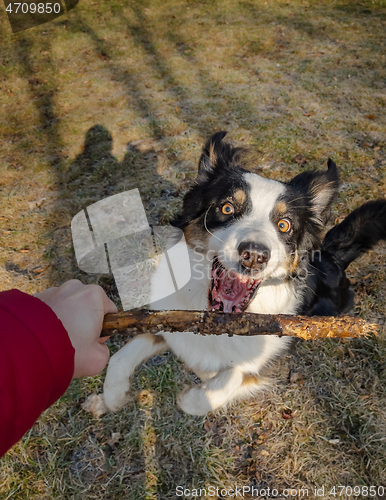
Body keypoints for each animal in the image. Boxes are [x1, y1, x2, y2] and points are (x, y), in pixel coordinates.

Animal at [102, 131, 386, 416]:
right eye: (227, 208)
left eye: (284, 225)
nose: (254, 256)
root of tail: (331, 254)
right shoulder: (168, 322)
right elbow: (120, 355)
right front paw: (113, 395)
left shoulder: (260, 361)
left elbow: (225, 381)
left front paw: (193, 394)